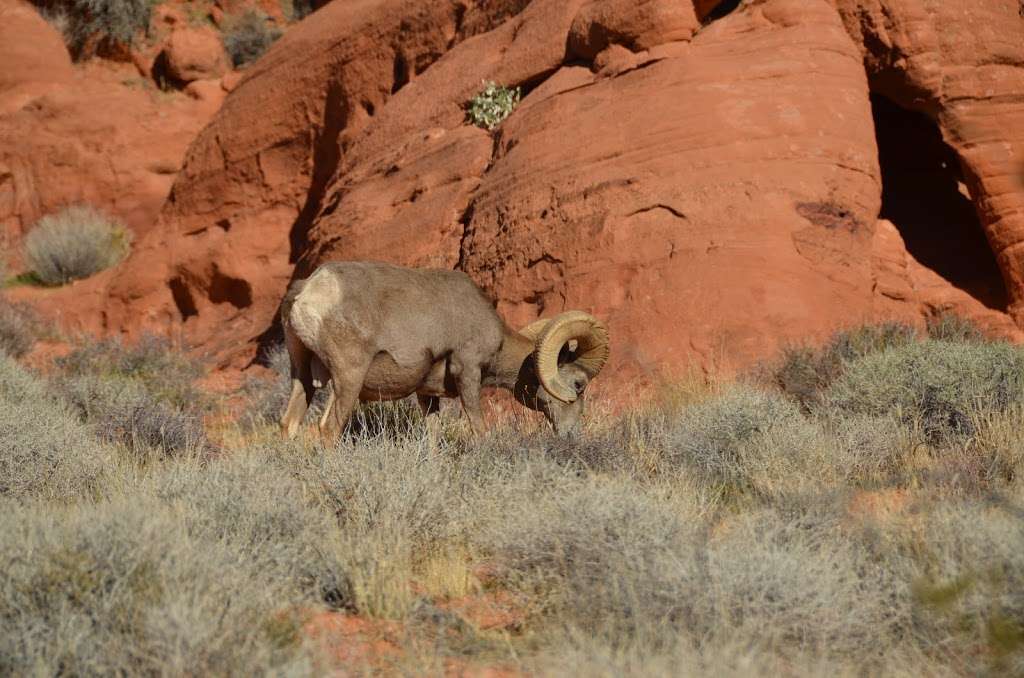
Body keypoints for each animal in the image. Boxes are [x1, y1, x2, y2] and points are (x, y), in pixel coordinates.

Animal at [280, 260, 606, 440]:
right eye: (578, 384)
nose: (570, 434)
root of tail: (308, 291)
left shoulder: (427, 395)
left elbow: (433, 436)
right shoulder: (469, 373)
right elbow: (479, 429)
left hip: (303, 376)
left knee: (289, 424)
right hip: (348, 378)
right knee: (328, 429)